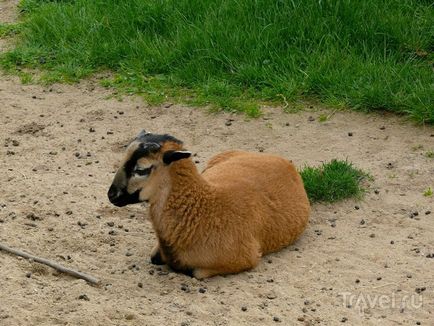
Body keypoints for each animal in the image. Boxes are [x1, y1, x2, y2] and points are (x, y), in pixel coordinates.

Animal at [107, 130, 310, 278]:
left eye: (141, 170)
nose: (111, 195)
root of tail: (286, 162)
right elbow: (154, 257)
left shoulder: (245, 258)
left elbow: (195, 273)